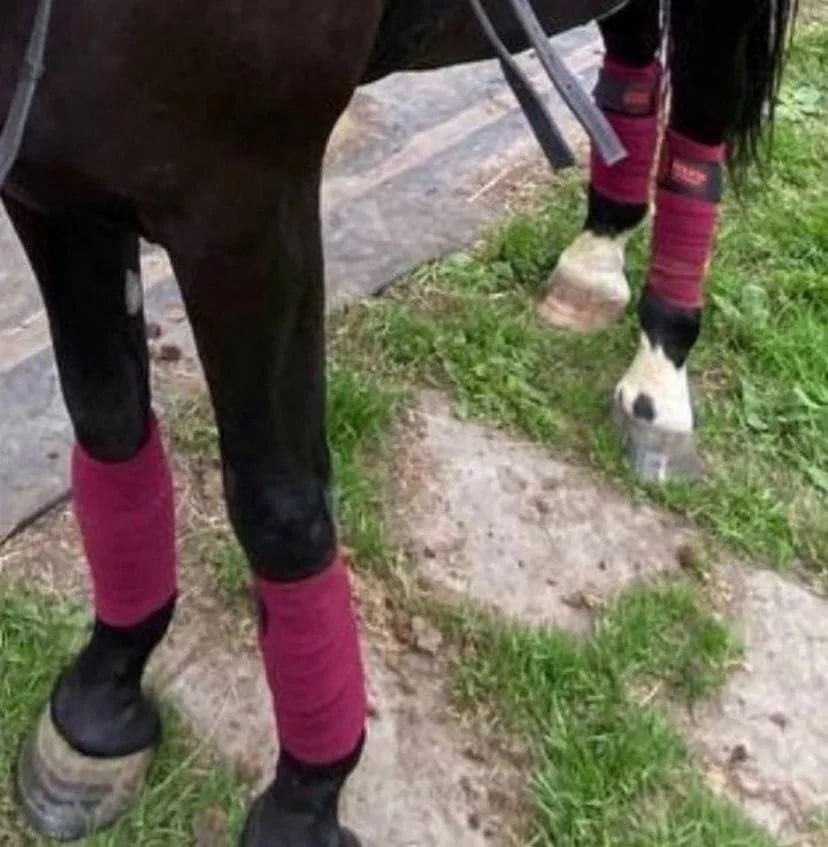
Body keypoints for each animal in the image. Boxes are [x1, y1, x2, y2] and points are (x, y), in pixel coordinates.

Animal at [0, 0, 795, 844]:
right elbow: (109, 426)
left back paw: (658, 379)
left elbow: (281, 509)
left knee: (703, 114)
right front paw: (103, 697)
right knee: (636, 52)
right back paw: (596, 257)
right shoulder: (50, 188)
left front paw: (306, 799)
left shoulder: (248, 212)